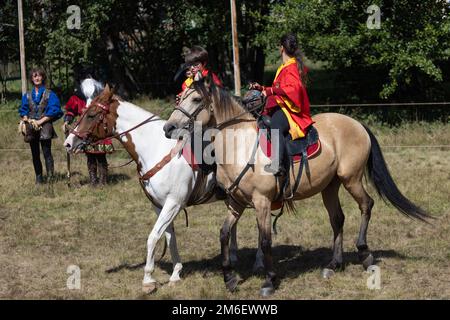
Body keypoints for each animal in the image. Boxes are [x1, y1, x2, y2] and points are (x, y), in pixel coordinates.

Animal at [65, 82, 266, 292]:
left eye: (92, 115)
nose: (68, 143)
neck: (155, 148)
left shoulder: (173, 203)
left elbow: (153, 237)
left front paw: (148, 280)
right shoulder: (159, 205)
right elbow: (170, 237)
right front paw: (176, 273)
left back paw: (259, 262)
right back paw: (233, 256)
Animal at [163, 78, 430, 298]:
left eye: (196, 99)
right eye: (180, 97)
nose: (168, 128)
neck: (240, 145)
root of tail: (358, 124)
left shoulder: (261, 202)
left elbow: (265, 241)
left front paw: (269, 281)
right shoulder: (235, 203)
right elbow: (224, 234)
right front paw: (229, 278)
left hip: (351, 179)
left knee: (366, 205)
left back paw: (365, 254)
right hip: (330, 186)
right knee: (337, 219)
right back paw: (334, 264)